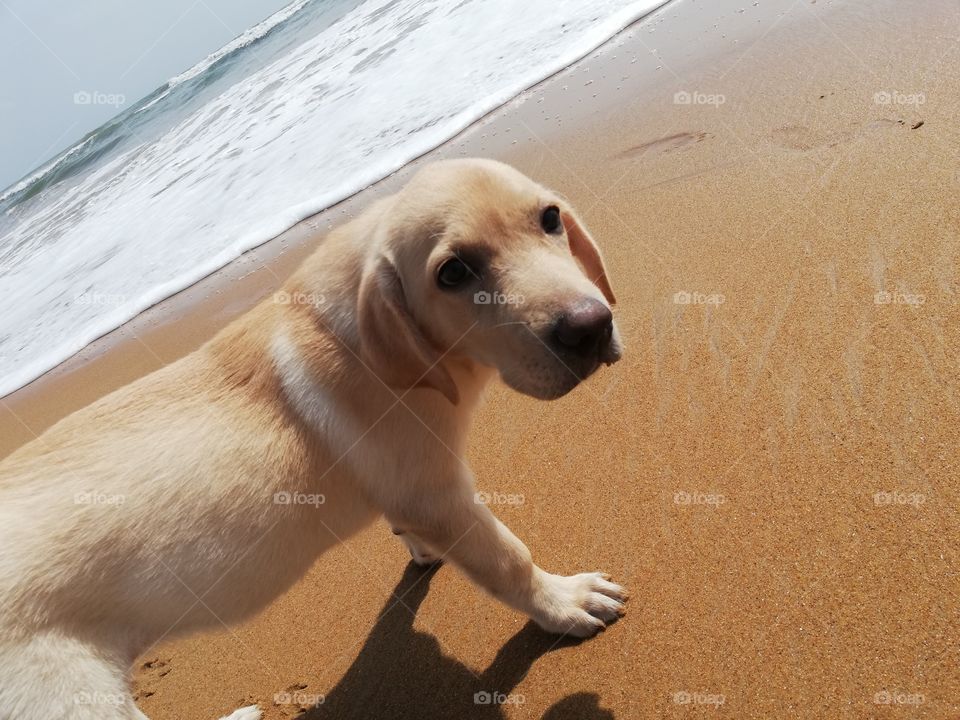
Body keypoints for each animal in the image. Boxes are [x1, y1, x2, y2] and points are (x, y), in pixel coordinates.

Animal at [0, 159, 628, 720]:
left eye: (550, 218)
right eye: (452, 274)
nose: (590, 328)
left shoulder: (408, 493)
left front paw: (419, 551)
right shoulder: (440, 496)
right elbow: (509, 560)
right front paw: (564, 602)